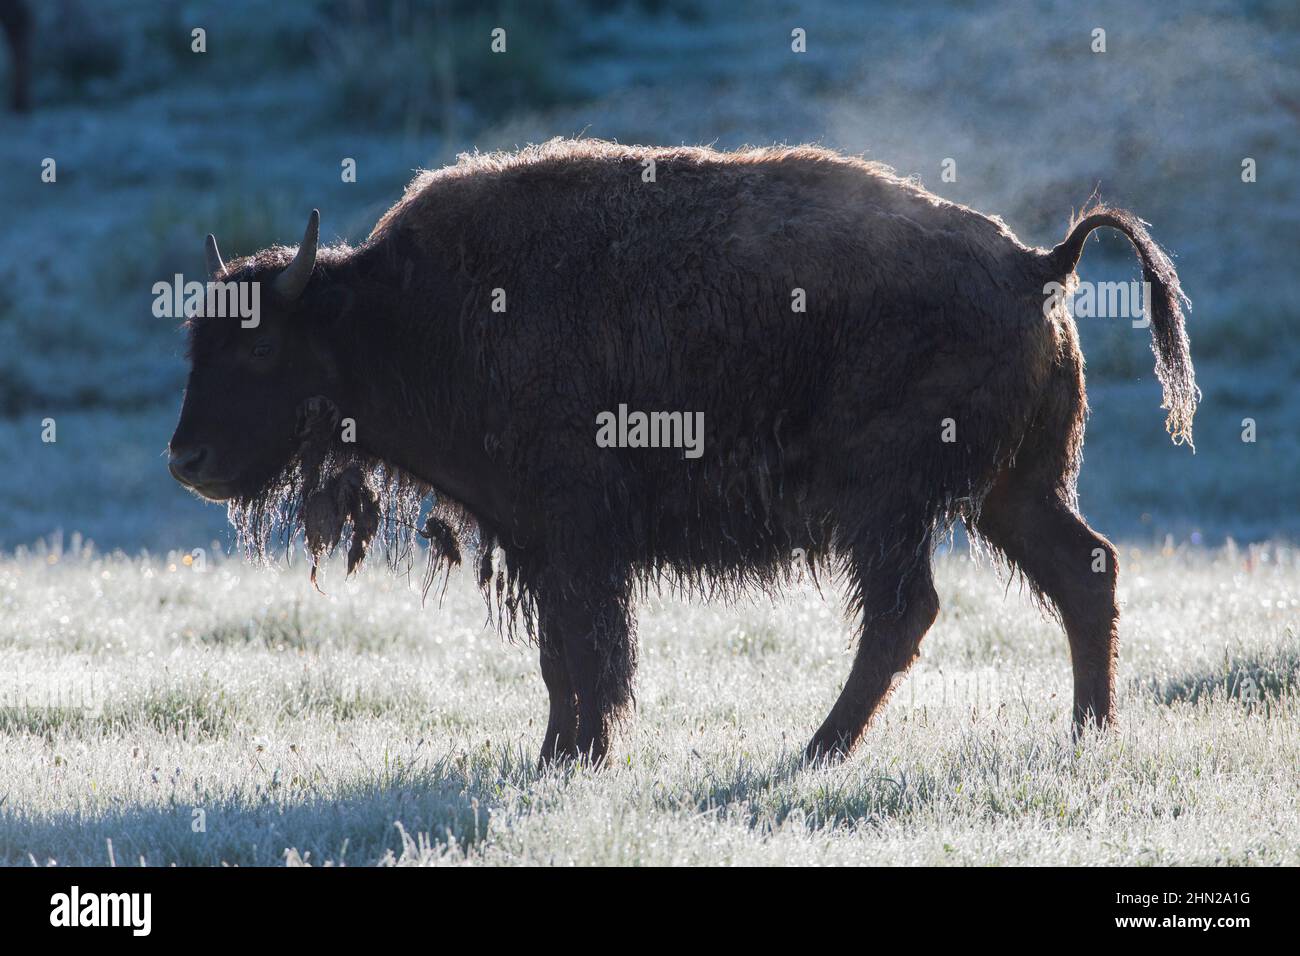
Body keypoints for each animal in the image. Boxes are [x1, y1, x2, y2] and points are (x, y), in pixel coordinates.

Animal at [167, 136, 1190, 764]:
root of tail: (1036, 264)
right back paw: (1088, 734)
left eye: (258, 348)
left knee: (905, 613)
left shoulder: (577, 539)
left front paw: (576, 756)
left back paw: (817, 748)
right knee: (1084, 571)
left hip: (889, 505)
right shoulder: (539, 542)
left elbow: (587, 651)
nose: (187, 461)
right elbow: (561, 656)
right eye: (194, 345)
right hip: (1011, 493)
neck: (394, 314)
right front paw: (555, 755)